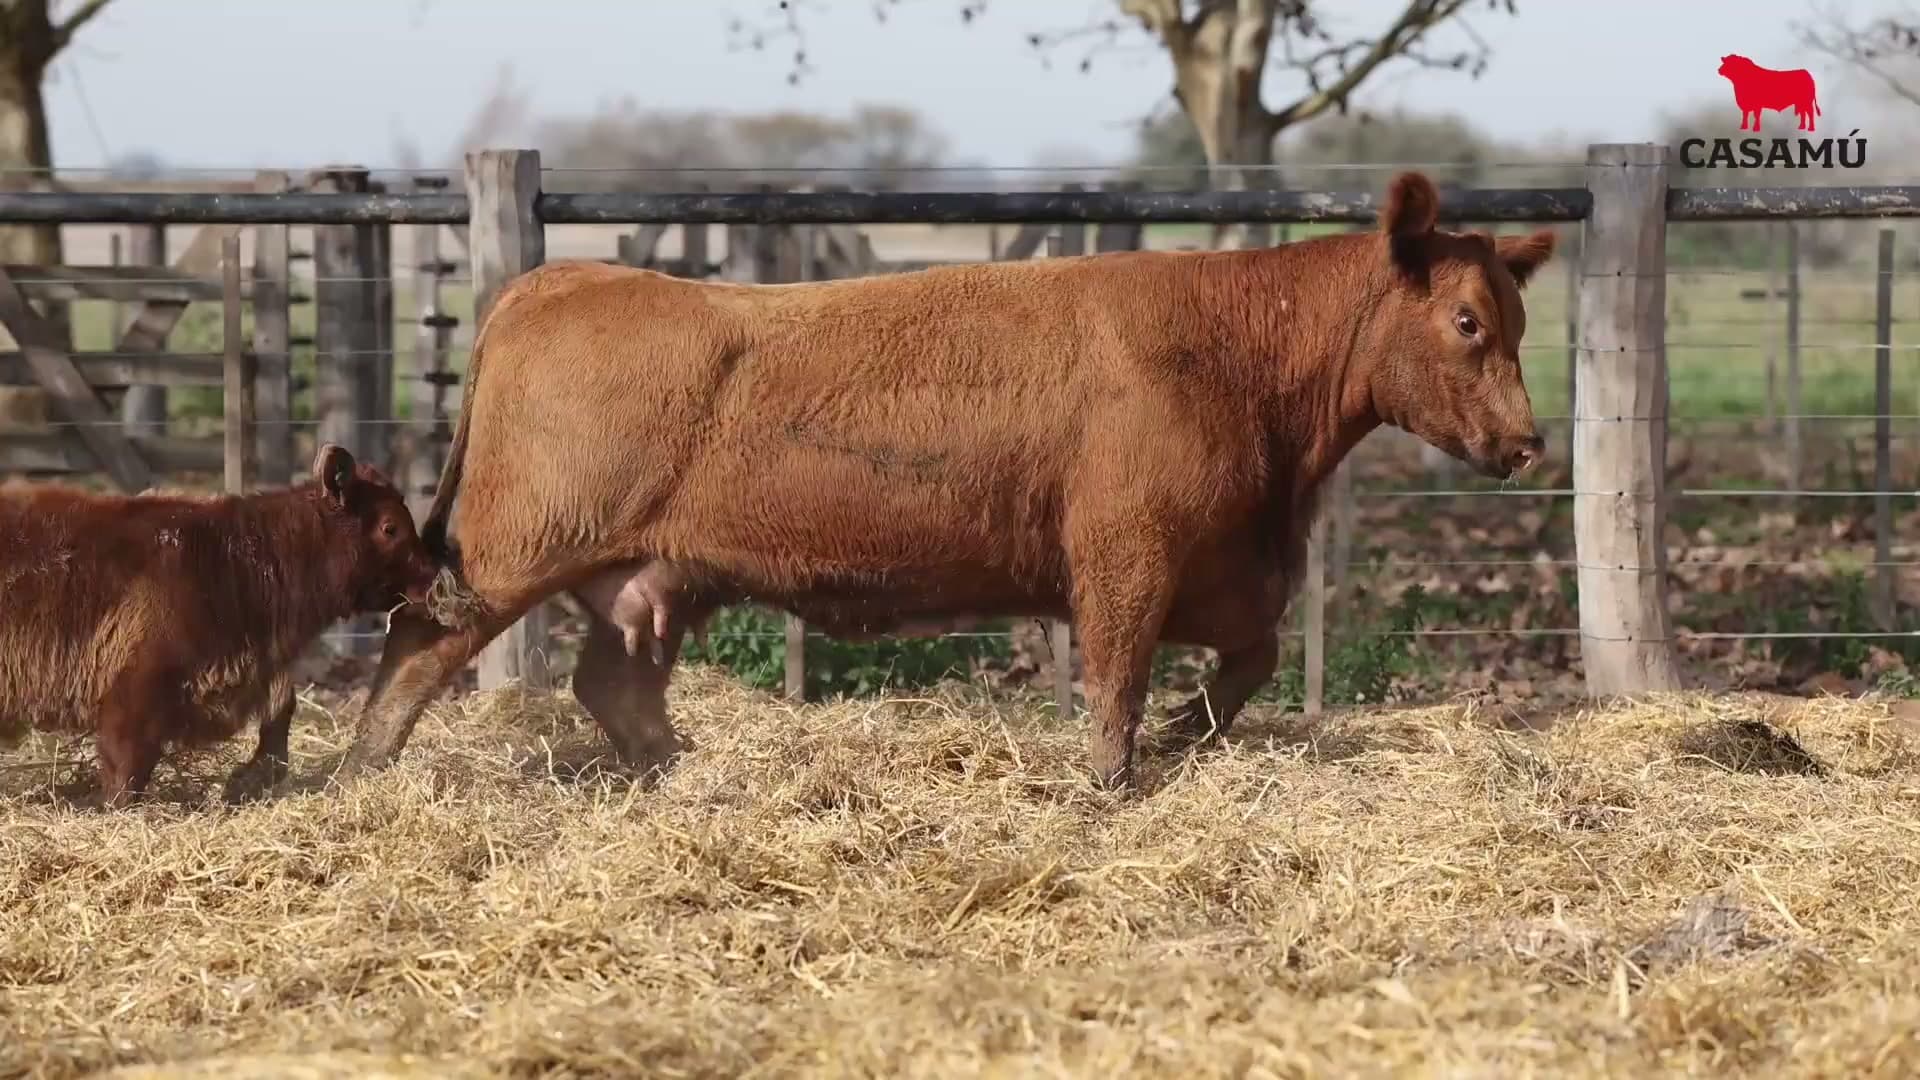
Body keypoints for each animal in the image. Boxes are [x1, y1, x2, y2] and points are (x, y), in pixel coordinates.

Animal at [0, 444, 440, 806]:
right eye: (389, 527)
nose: (433, 575)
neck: (232, 561)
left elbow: (282, 709)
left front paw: (250, 778)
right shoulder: (134, 690)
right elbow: (126, 766)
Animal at [332, 170, 1554, 792]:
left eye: (1516, 319)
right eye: (1466, 321)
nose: (1528, 442)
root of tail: (557, 279)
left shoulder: (1235, 574)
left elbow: (1242, 672)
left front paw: (1175, 743)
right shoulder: (1125, 556)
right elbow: (1116, 680)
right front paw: (1113, 781)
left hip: (651, 577)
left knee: (612, 683)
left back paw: (679, 771)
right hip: (511, 550)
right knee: (416, 645)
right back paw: (364, 774)